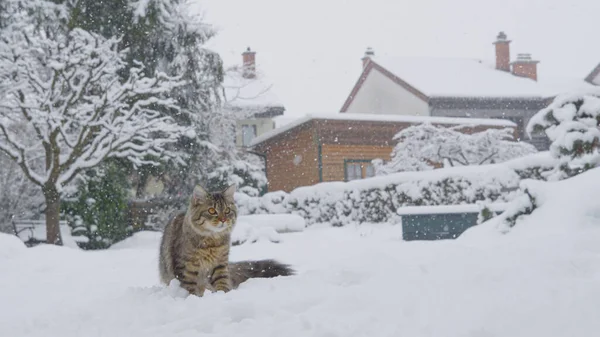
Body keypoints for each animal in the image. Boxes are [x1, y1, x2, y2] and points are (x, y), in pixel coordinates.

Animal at [157, 182, 292, 296]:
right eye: (212, 210)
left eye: (227, 210)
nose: (223, 219)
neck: (212, 242)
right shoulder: (186, 267)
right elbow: (190, 288)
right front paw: (194, 298)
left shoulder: (220, 264)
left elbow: (222, 282)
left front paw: (223, 295)